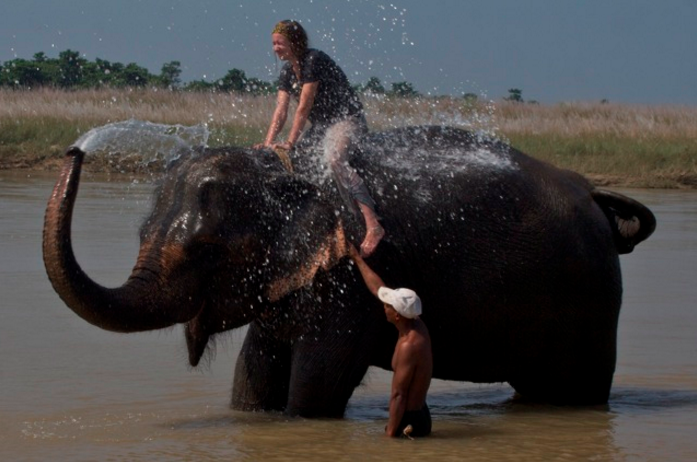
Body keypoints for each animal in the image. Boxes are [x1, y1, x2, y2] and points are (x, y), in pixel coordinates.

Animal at [42, 125, 652, 416]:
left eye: (208, 248)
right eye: (143, 233)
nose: (75, 150)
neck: (289, 173)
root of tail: (597, 199)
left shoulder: (346, 284)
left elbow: (317, 384)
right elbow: (253, 375)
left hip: (590, 303)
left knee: (575, 391)